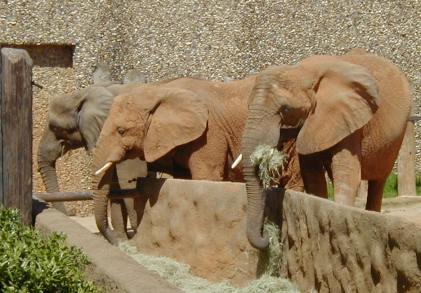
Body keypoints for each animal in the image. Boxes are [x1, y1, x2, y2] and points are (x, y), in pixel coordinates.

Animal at [92, 76, 258, 243]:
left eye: (121, 131)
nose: (118, 241)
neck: (160, 89)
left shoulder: (210, 133)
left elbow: (207, 176)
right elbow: (182, 180)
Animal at [240, 51, 410, 248]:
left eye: (286, 109)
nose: (267, 235)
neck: (303, 71)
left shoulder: (348, 116)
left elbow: (347, 175)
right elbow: (313, 176)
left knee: (379, 180)